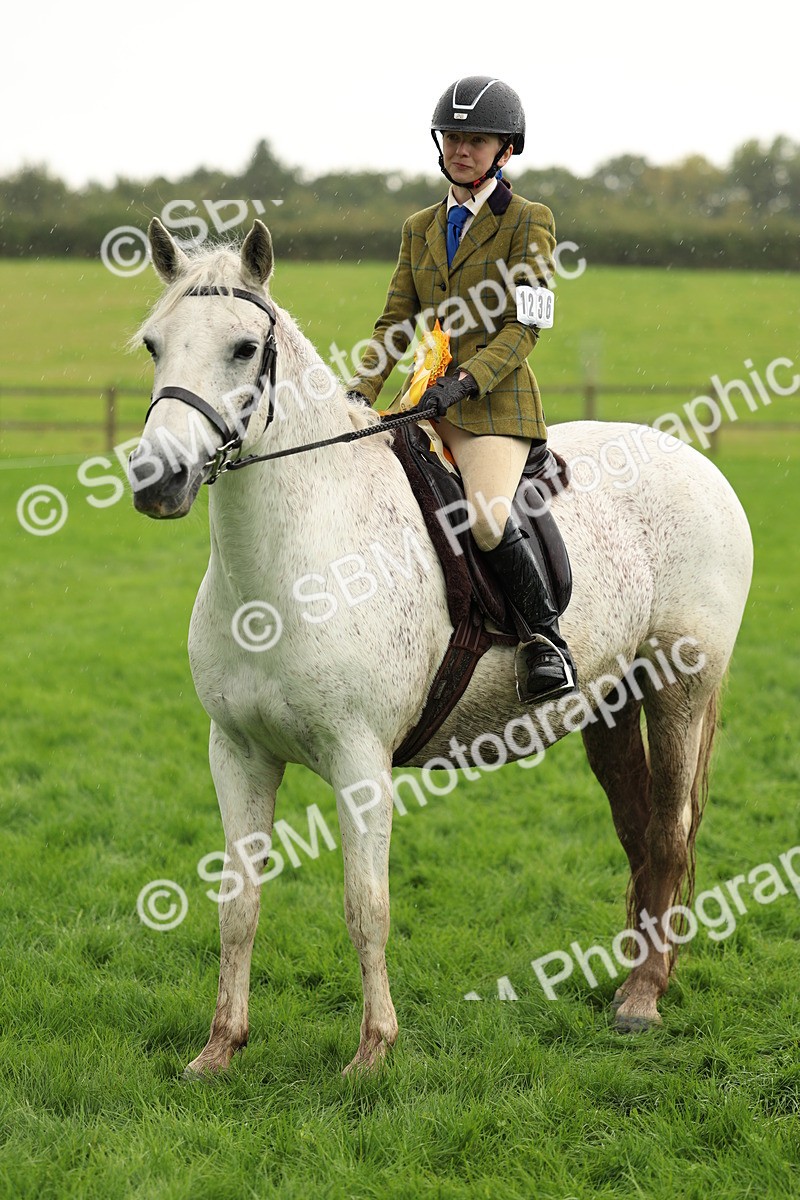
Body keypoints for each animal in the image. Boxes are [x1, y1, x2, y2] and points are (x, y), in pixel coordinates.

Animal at [128, 218, 753, 1077]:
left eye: (244, 349)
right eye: (154, 344)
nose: (158, 480)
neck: (289, 563)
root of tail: (693, 461)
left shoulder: (360, 764)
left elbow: (366, 907)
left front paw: (373, 1053)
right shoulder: (238, 753)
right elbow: (238, 904)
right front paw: (220, 1048)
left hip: (679, 689)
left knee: (666, 833)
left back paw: (642, 999)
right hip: (610, 701)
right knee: (637, 832)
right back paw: (630, 973)